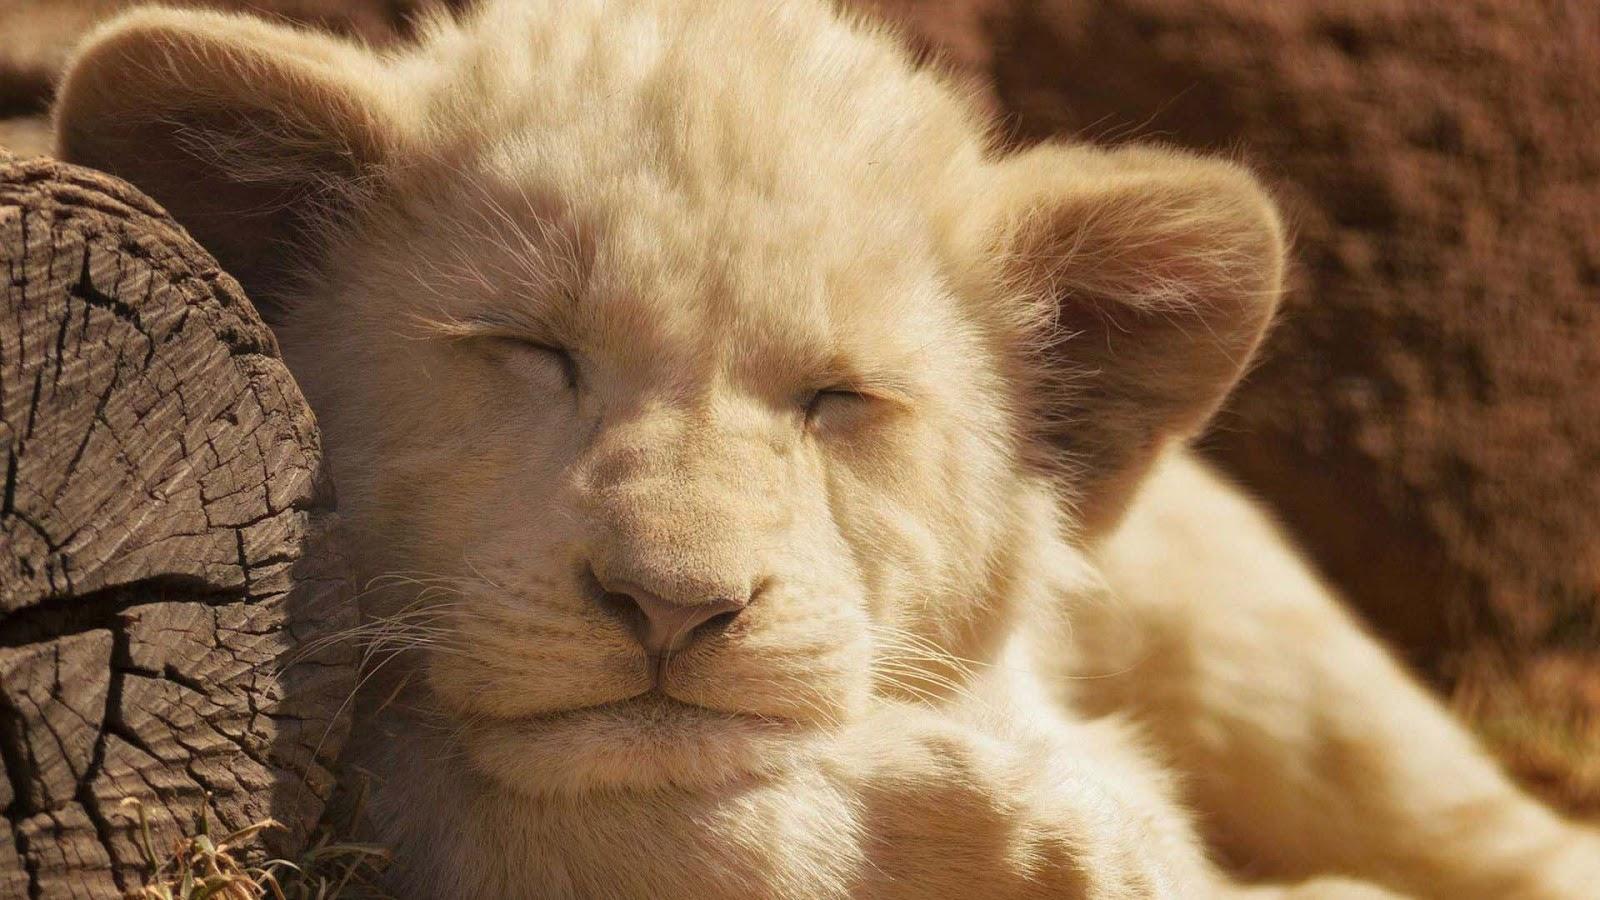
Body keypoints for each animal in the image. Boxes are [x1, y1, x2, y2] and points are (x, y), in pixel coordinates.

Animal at [53, 1, 1600, 897]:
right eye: (527, 348)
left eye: (839, 400)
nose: (674, 606)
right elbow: (508, 801)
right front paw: (1039, 830)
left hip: (1277, 672)